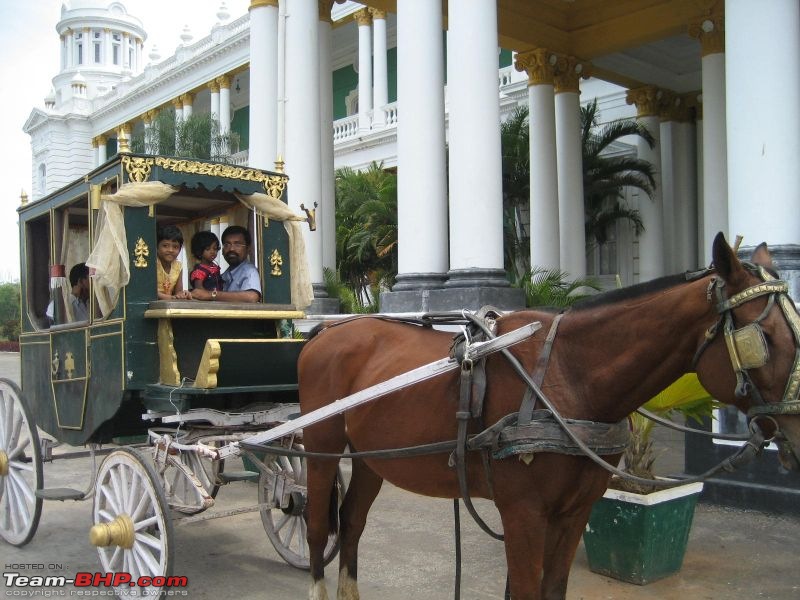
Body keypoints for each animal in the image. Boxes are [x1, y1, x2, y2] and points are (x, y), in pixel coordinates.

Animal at [300, 234, 800, 600]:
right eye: (766, 339)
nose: (797, 432)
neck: (568, 376)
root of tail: (324, 333)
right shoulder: (524, 512)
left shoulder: (574, 511)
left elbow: (553, 588)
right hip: (321, 448)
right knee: (318, 526)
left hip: (370, 456)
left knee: (352, 523)